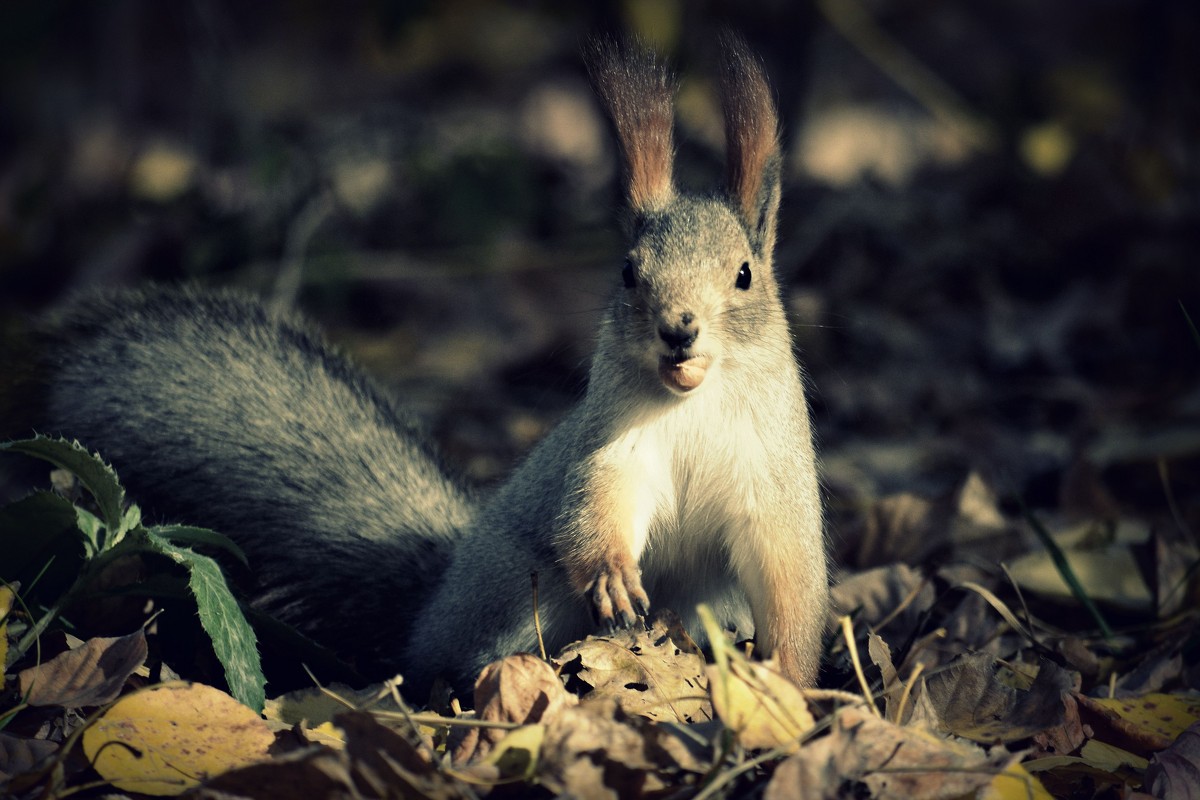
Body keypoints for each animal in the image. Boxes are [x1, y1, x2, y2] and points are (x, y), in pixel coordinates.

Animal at [21, 37, 825, 695]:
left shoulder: (772, 480)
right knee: (461, 657)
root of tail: (435, 598)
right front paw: (613, 575)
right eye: (629, 272)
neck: (692, 405)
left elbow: (788, 577)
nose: (678, 331)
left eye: (745, 275)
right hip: (514, 590)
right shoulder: (609, 451)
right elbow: (593, 513)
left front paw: (788, 680)